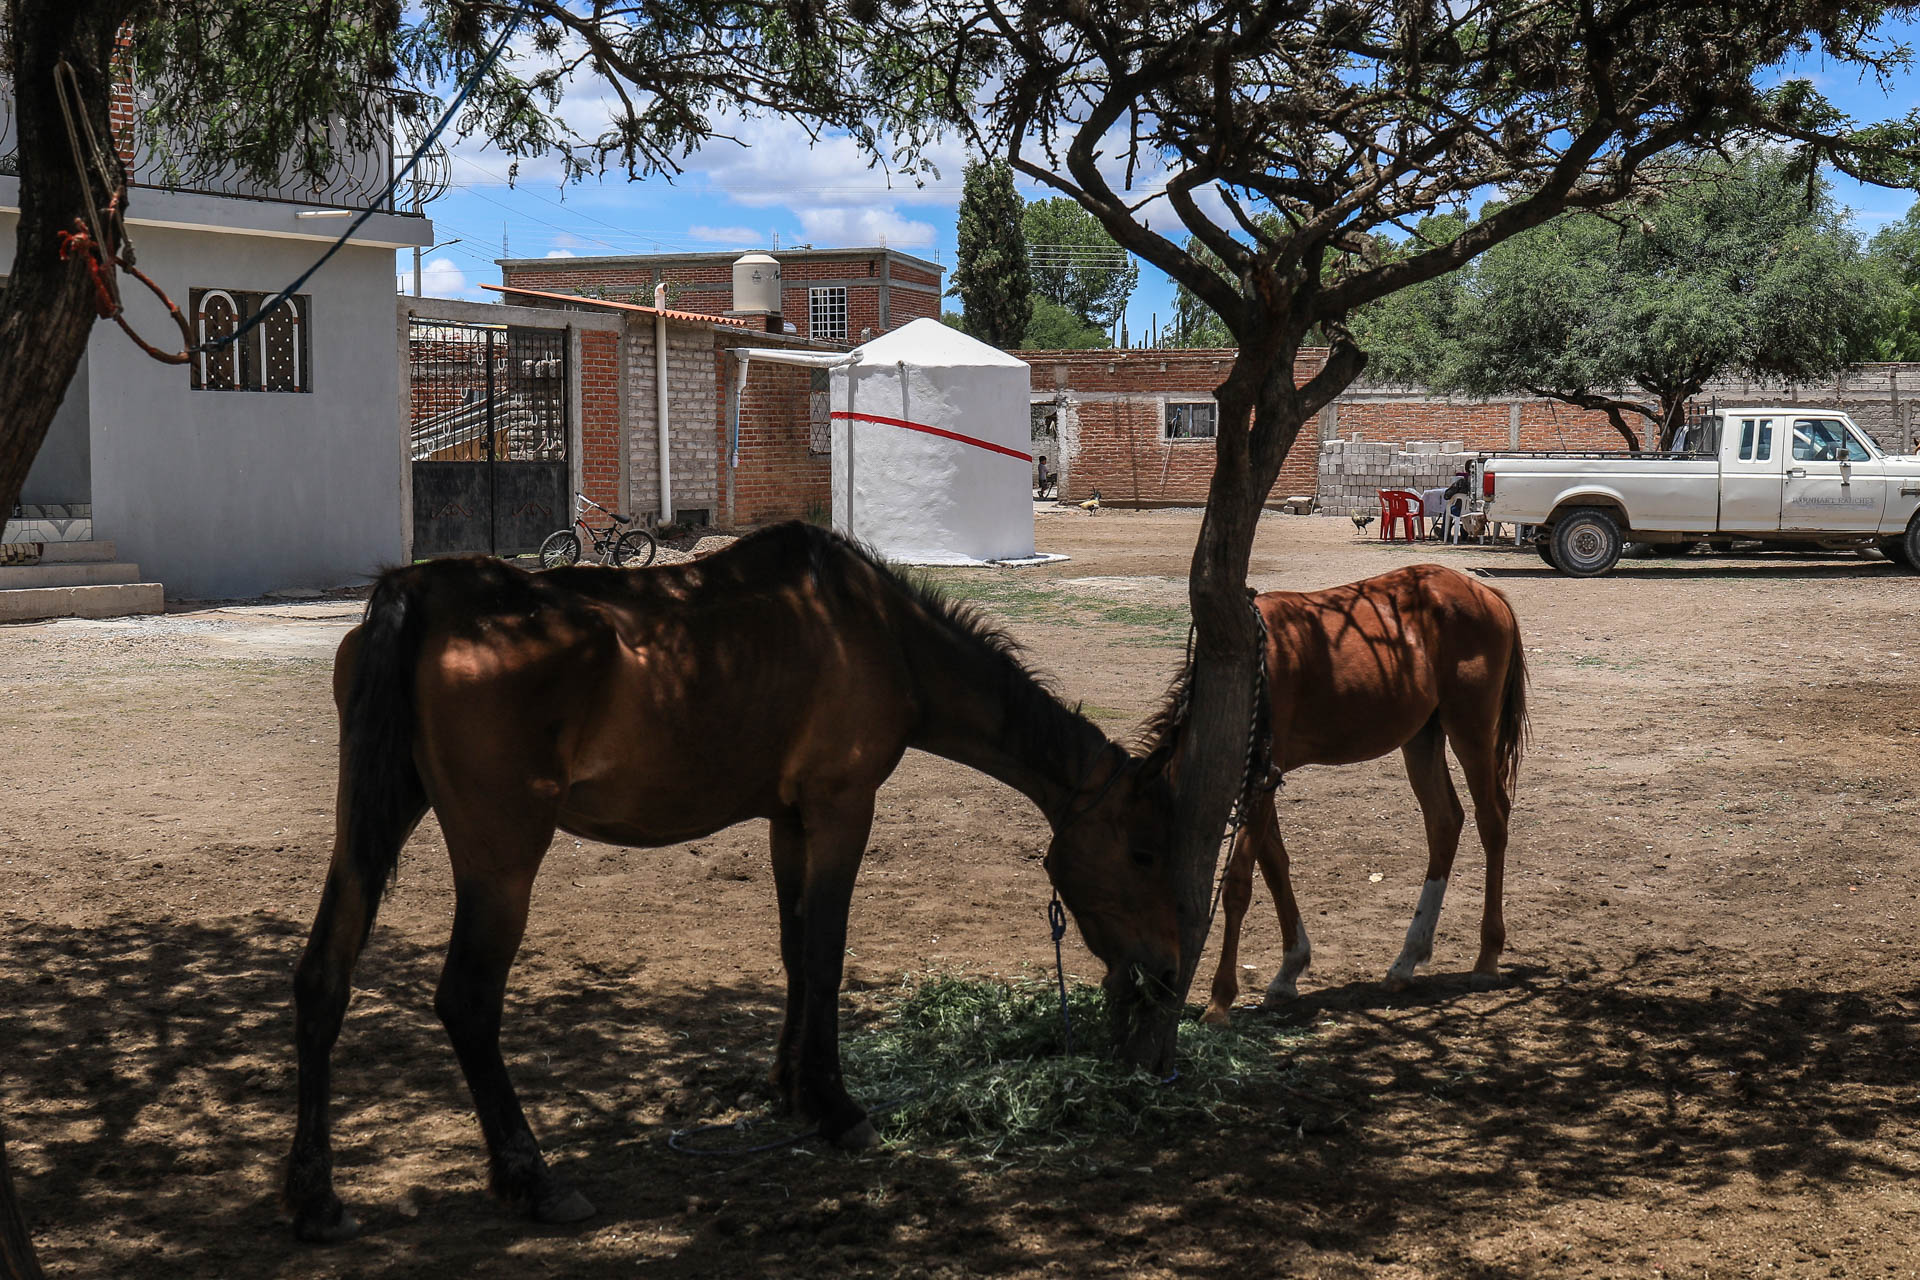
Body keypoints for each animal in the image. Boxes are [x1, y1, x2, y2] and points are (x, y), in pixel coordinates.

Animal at [285, 521, 1182, 1242]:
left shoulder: (790, 819)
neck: (876, 631)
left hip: (373, 821)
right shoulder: (842, 806)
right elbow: (824, 954)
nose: (1165, 973)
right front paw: (836, 1108)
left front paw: (790, 1090)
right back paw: (532, 1178)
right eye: (1144, 852)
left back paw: (316, 1196)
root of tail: (422, 593)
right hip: (502, 856)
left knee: (322, 978)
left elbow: (795, 952)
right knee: (468, 1001)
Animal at [1153, 565, 1529, 1023]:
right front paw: (1288, 971)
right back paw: (1406, 961)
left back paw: (1486, 960)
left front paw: (1220, 999)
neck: (1243, 678)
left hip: (1469, 729)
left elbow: (1238, 883)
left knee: (1492, 820)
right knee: (1444, 820)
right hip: (1422, 735)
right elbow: (1275, 865)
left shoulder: (1258, 780)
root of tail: (1486, 593)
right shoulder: (1264, 782)